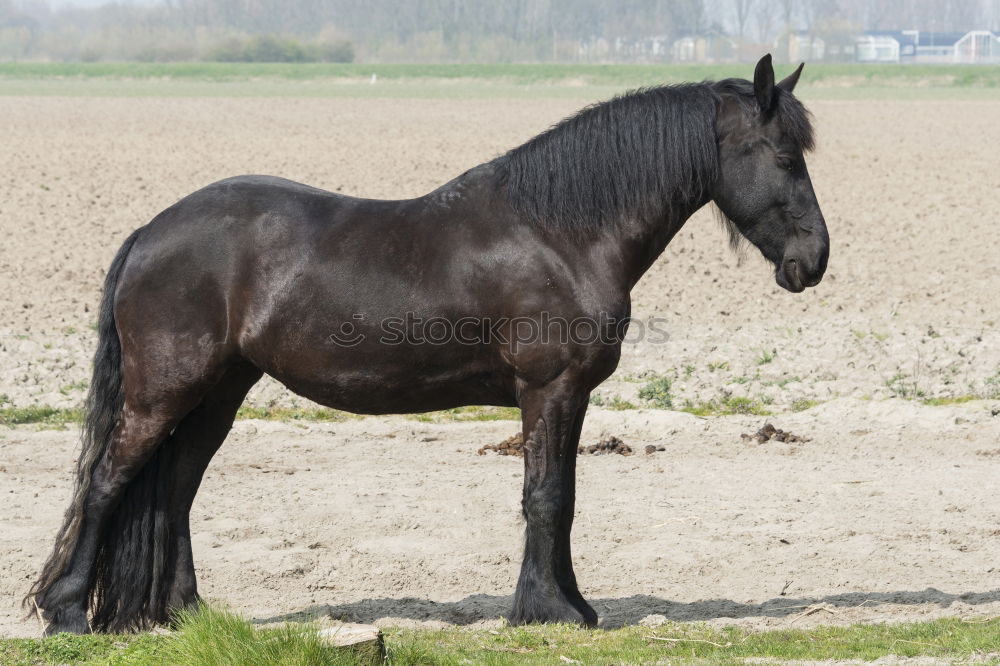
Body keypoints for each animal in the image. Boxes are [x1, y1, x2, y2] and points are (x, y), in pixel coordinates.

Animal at [29, 54, 828, 632]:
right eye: (784, 157)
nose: (813, 261)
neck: (560, 233)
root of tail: (150, 232)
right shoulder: (550, 389)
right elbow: (546, 497)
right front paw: (550, 612)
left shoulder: (567, 397)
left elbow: (563, 496)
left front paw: (569, 604)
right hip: (163, 393)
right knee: (108, 481)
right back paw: (67, 612)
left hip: (217, 395)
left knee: (176, 487)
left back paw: (186, 614)